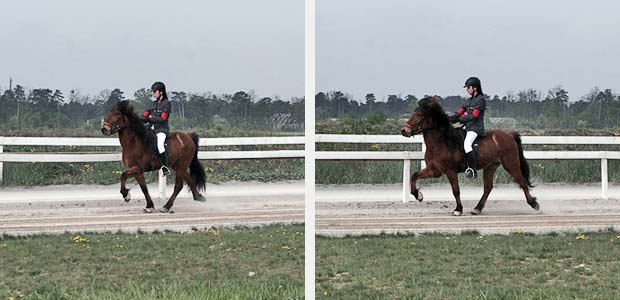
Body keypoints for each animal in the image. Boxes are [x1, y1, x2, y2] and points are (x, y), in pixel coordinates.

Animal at [402, 96, 536, 216]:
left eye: (420, 115)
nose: (404, 130)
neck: (442, 142)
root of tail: (509, 134)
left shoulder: (450, 171)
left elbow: (456, 190)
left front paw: (458, 210)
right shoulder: (434, 170)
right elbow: (414, 175)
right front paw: (418, 195)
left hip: (510, 164)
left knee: (522, 182)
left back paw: (533, 203)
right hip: (490, 166)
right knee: (488, 187)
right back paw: (477, 208)